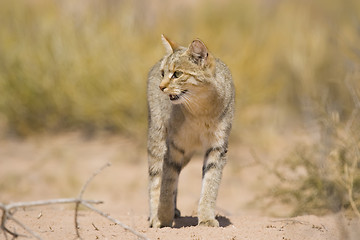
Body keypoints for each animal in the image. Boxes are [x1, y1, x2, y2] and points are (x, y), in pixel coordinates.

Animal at [147, 34, 235, 228]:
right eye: (163, 73)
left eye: (177, 74)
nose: (161, 86)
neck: (201, 110)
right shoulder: (173, 146)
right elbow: (166, 183)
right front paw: (162, 218)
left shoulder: (217, 147)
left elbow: (210, 183)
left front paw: (207, 218)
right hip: (158, 140)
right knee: (155, 177)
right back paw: (154, 216)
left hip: (186, 153)